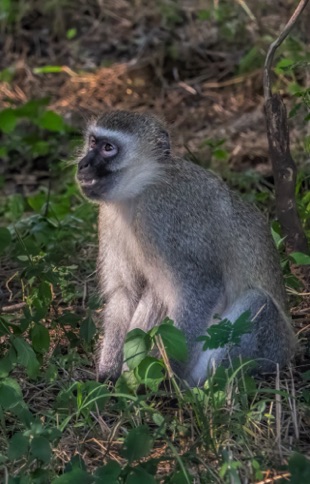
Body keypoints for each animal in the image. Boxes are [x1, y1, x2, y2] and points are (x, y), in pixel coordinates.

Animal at [77, 109, 296, 386]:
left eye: (108, 148)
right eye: (93, 142)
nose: (83, 163)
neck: (141, 190)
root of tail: (291, 350)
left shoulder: (171, 216)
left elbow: (202, 289)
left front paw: (166, 376)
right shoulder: (108, 218)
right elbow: (125, 291)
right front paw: (107, 376)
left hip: (270, 348)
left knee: (259, 302)